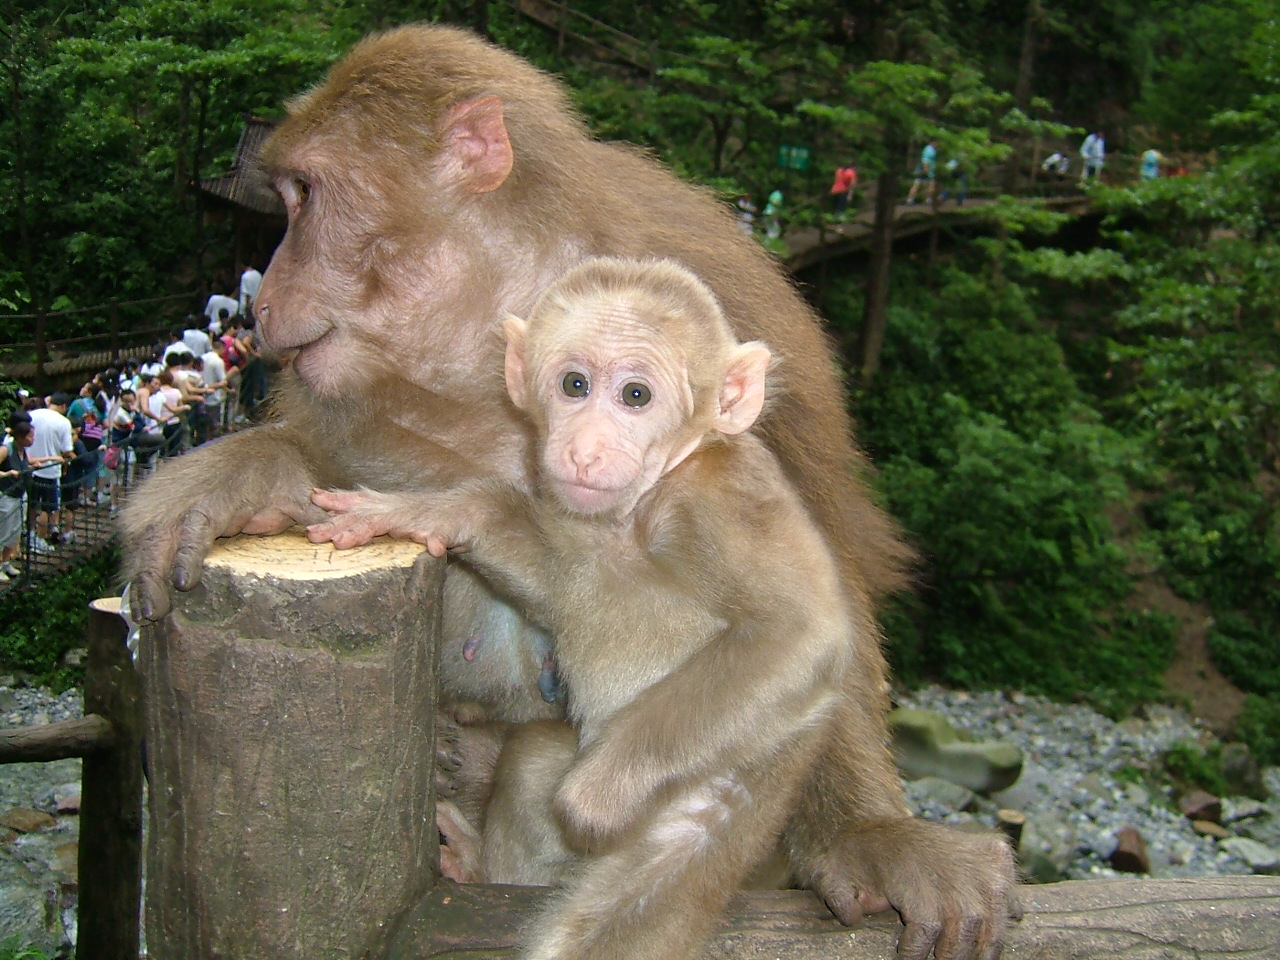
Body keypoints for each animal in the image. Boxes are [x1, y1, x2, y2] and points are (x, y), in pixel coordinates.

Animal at [312, 259, 860, 960]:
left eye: (636, 396)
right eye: (575, 385)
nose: (585, 448)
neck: (647, 500)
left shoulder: (726, 498)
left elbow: (801, 634)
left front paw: (596, 796)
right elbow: (560, 578)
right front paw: (429, 511)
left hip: (721, 813)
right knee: (531, 763)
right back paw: (481, 866)